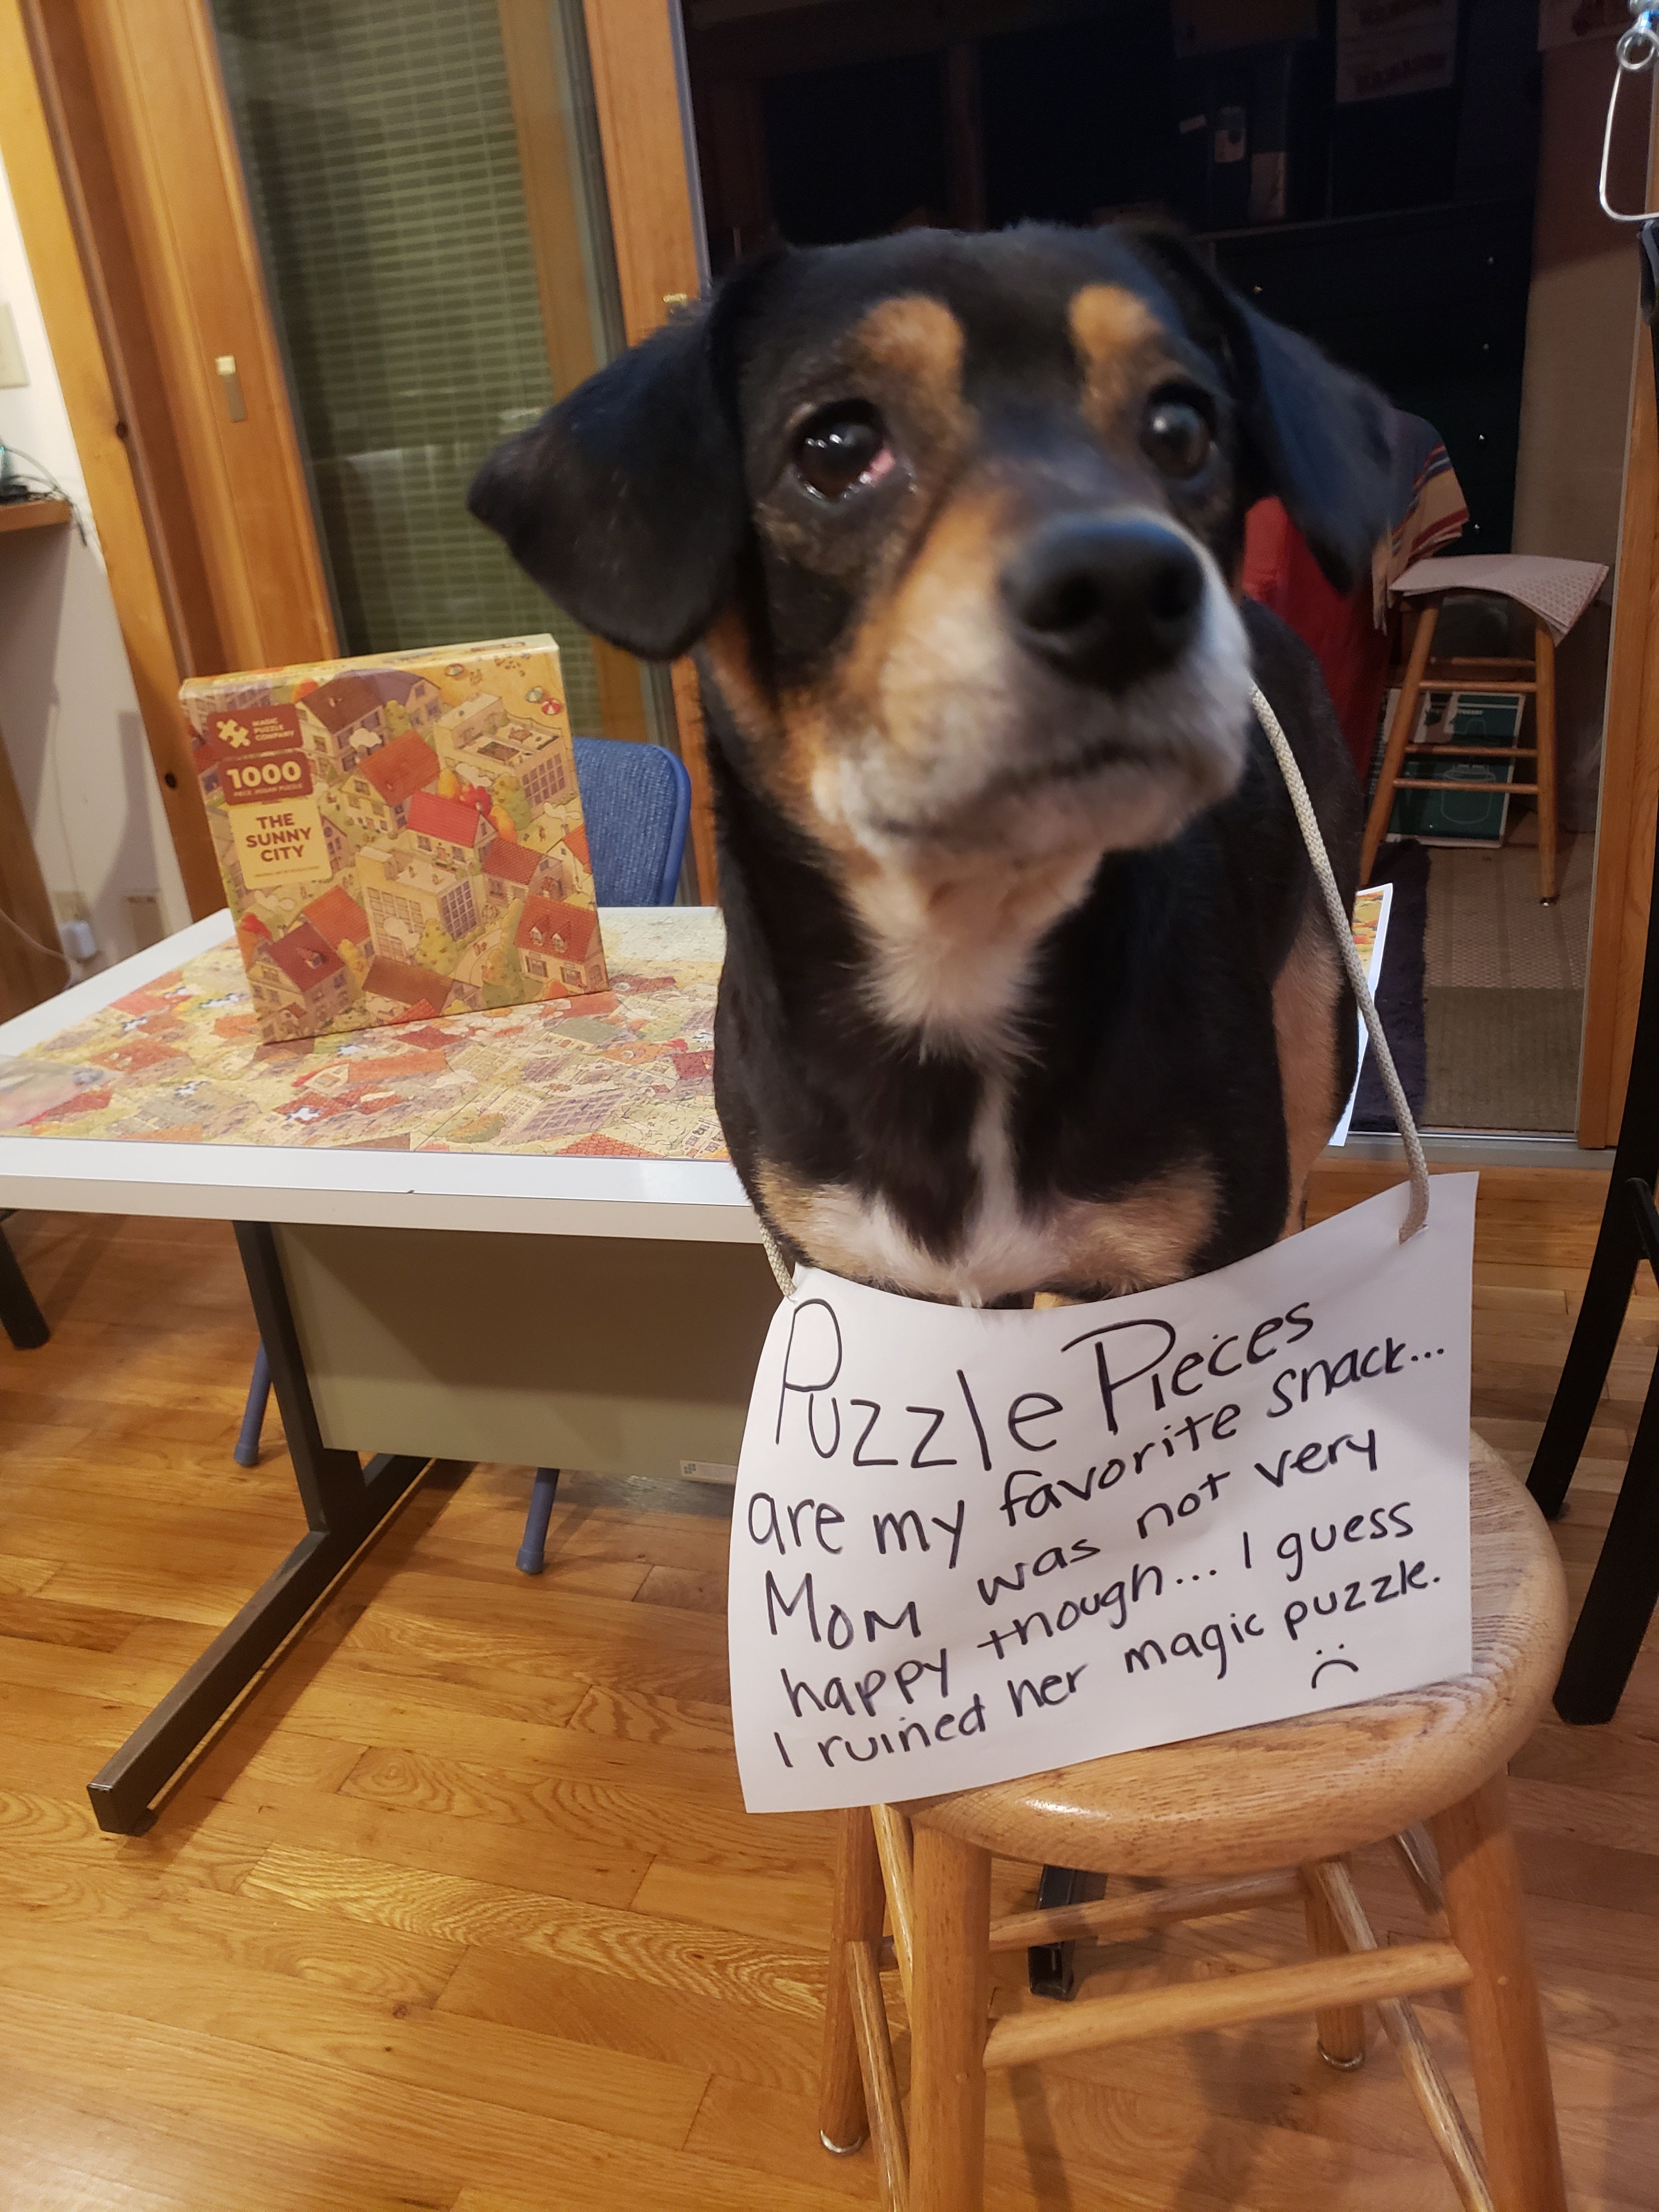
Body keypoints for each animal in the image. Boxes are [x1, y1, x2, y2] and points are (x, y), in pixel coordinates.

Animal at [469, 223, 1389, 1309]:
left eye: (1181, 427)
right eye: (834, 448)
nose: (1126, 585)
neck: (959, 951)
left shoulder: (1184, 1255)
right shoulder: (846, 1261)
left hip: (1316, 1019)